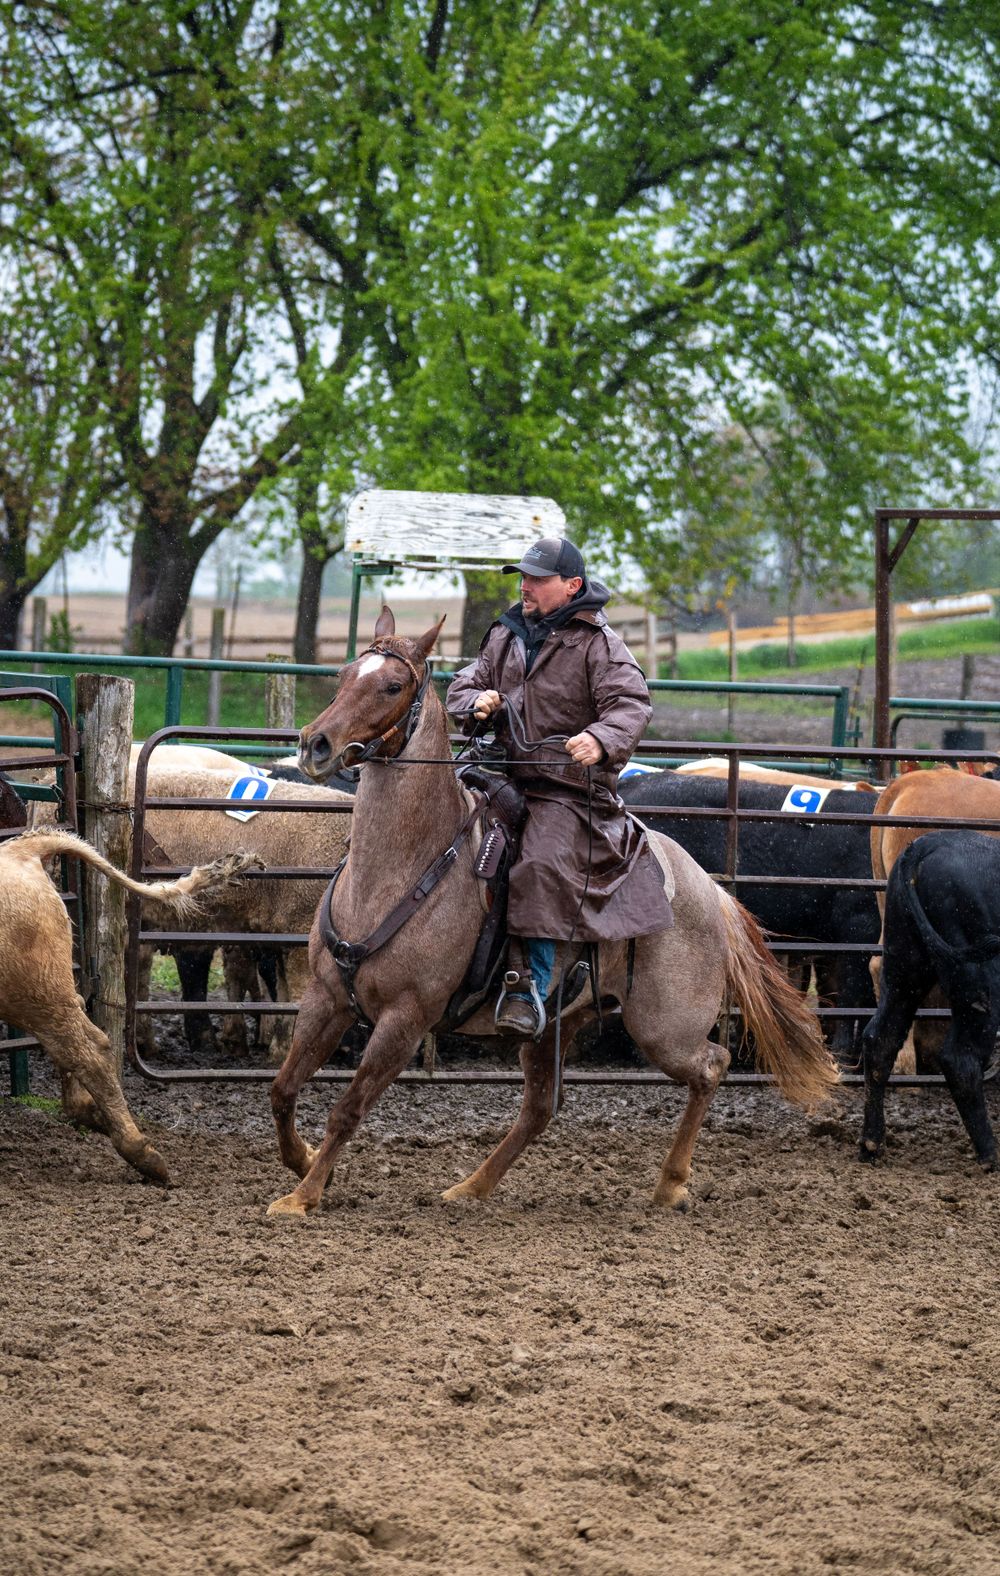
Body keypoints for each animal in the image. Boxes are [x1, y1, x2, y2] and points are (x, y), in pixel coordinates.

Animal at [861, 830, 1000, 1171]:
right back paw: (990, 1155)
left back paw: (872, 1143)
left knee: (880, 1039)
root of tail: (926, 845)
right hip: (980, 979)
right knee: (960, 1058)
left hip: (904, 966)